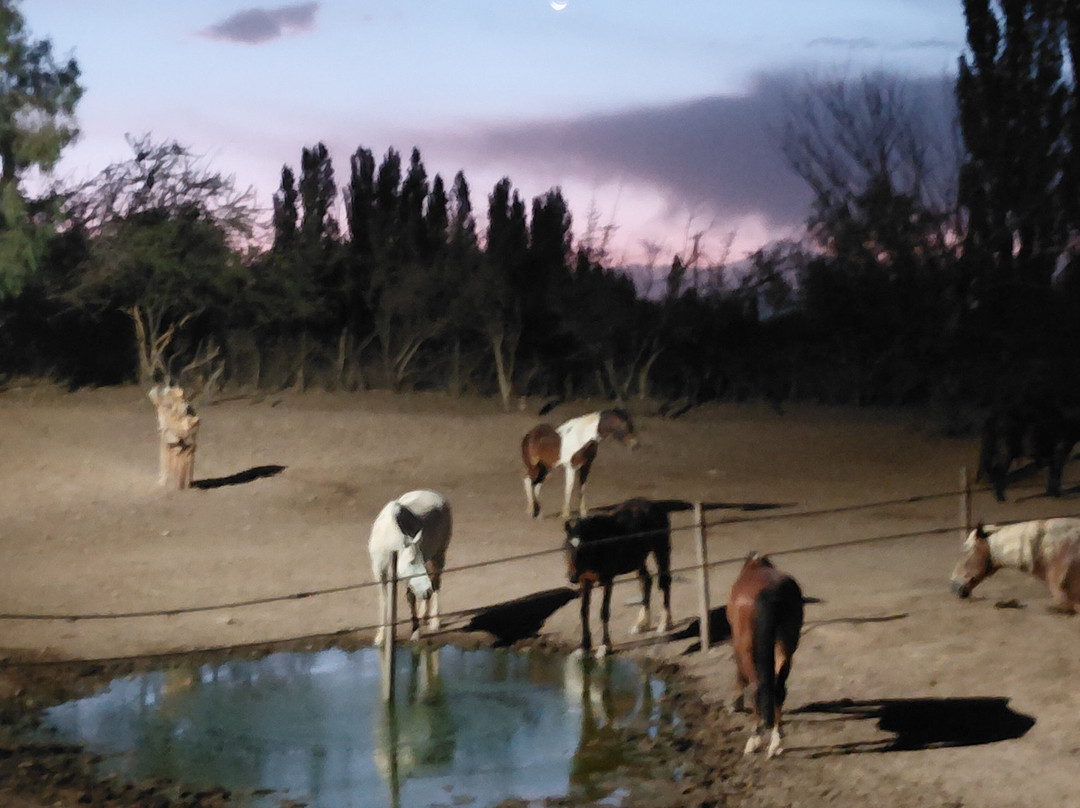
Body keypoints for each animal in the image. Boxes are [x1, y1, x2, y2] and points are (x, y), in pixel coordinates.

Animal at [368, 490, 453, 646]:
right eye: (411, 562)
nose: (427, 591)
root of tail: (436, 495)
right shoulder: (380, 572)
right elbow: (385, 600)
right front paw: (382, 636)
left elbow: (410, 597)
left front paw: (415, 633)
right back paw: (423, 614)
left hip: (439, 556)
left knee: (436, 584)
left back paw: (434, 621)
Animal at [564, 498, 673, 658]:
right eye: (567, 547)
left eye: (583, 548)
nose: (572, 577)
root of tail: (653, 505)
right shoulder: (585, 581)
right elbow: (584, 611)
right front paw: (584, 646)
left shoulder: (608, 580)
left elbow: (604, 612)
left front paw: (605, 646)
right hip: (638, 558)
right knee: (646, 581)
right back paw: (641, 624)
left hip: (661, 550)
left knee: (664, 582)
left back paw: (665, 623)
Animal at [726, 552, 804, 759]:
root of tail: (772, 593)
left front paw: (736, 703)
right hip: (786, 644)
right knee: (778, 688)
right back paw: (775, 742)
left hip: (748, 649)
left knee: (757, 688)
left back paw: (754, 739)